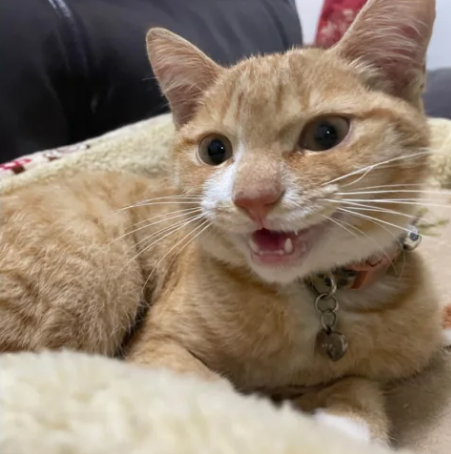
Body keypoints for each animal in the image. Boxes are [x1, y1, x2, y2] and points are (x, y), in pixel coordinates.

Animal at [0, 0, 442, 446]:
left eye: (326, 133)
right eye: (215, 150)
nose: (253, 197)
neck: (320, 295)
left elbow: (360, 387)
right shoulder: (159, 344)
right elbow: (213, 395)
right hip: (96, 278)